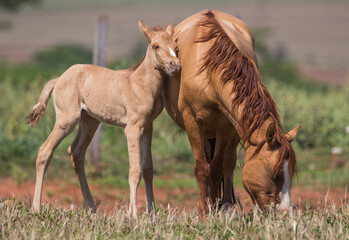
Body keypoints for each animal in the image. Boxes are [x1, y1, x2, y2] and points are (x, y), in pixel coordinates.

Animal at [28, 21, 181, 218]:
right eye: (156, 46)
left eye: (176, 47)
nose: (175, 66)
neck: (140, 84)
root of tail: (58, 79)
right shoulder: (132, 128)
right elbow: (135, 170)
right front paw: (133, 215)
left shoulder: (148, 127)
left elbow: (148, 169)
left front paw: (152, 213)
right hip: (66, 120)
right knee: (45, 151)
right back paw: (36, 208)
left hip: (89, 121)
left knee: (76, 153)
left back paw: (91, 208)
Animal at [162, 10, 300, 211]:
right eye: (276, 175)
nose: (285, 212)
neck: (207, 72)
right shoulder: (192, 123)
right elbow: (202, 168)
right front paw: (204, 210)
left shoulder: (227, 126)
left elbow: (217, 167)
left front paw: (216, 207)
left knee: (228, 161)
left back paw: (226, 204)